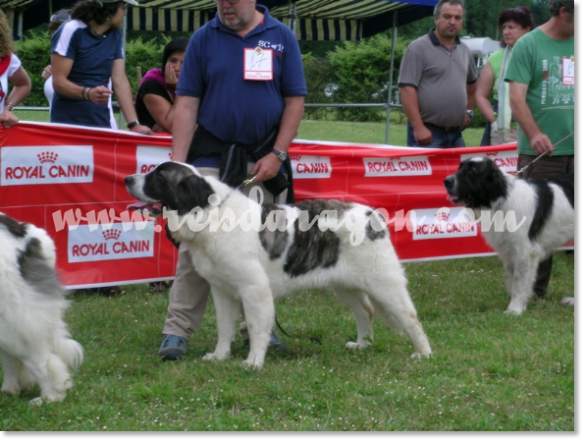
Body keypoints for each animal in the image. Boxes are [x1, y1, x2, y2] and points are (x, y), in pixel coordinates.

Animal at [125, 162, 432, 370]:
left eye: (159, 177)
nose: (128, 178)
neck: (212, 214)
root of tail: (371, 214)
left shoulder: (254, 290)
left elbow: (257, 327)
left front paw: (253, 362)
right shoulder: (222, 291)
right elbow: (224, 327)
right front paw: (220, 356)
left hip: (384, 284)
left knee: (410, 317)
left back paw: (423, 353)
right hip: (346, 286)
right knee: (365, 311)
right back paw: (362, 344)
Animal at [444, 158, 572, 314]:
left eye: (471, 171)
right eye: (459, 168)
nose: (446, 181)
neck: (501, 201)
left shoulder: (524, 252)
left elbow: (518, 281)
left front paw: (514, 310)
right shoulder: (509, 251)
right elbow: (512, 280)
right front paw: (520, 305)